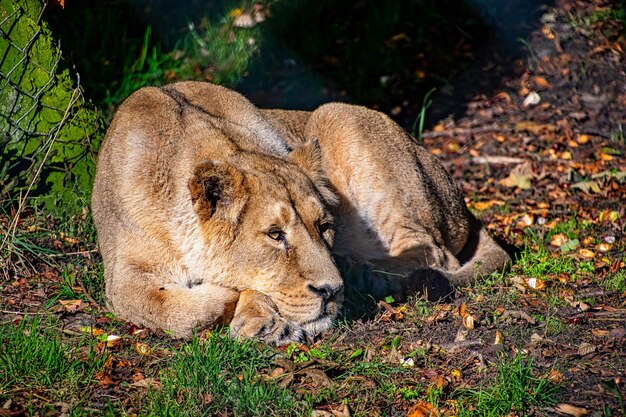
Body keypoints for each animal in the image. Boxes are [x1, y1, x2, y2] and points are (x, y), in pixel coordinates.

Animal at [94, 81, 512, 344]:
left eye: (323, 226)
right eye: (275, 235)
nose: (331, 290)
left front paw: (258, 316)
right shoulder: (121, 272)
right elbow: (161, 307)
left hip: (336, 115)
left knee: (435, 253)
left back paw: (362, 273)